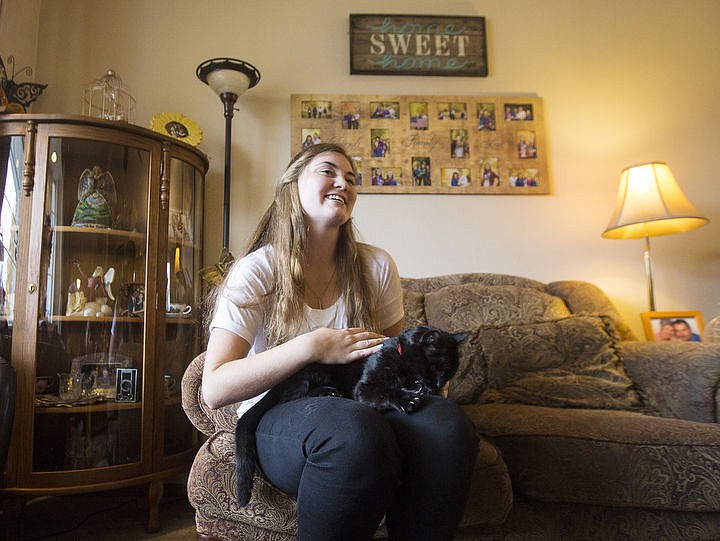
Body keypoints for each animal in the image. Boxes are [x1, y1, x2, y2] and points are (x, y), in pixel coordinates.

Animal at [235, 324, 466, 506]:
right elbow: (386, 392)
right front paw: (407, 399)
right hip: (314, 372)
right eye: (436, 369)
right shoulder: (364, 388)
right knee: (290, 397)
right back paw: (329, 392)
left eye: (449, 374)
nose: (438, 386)